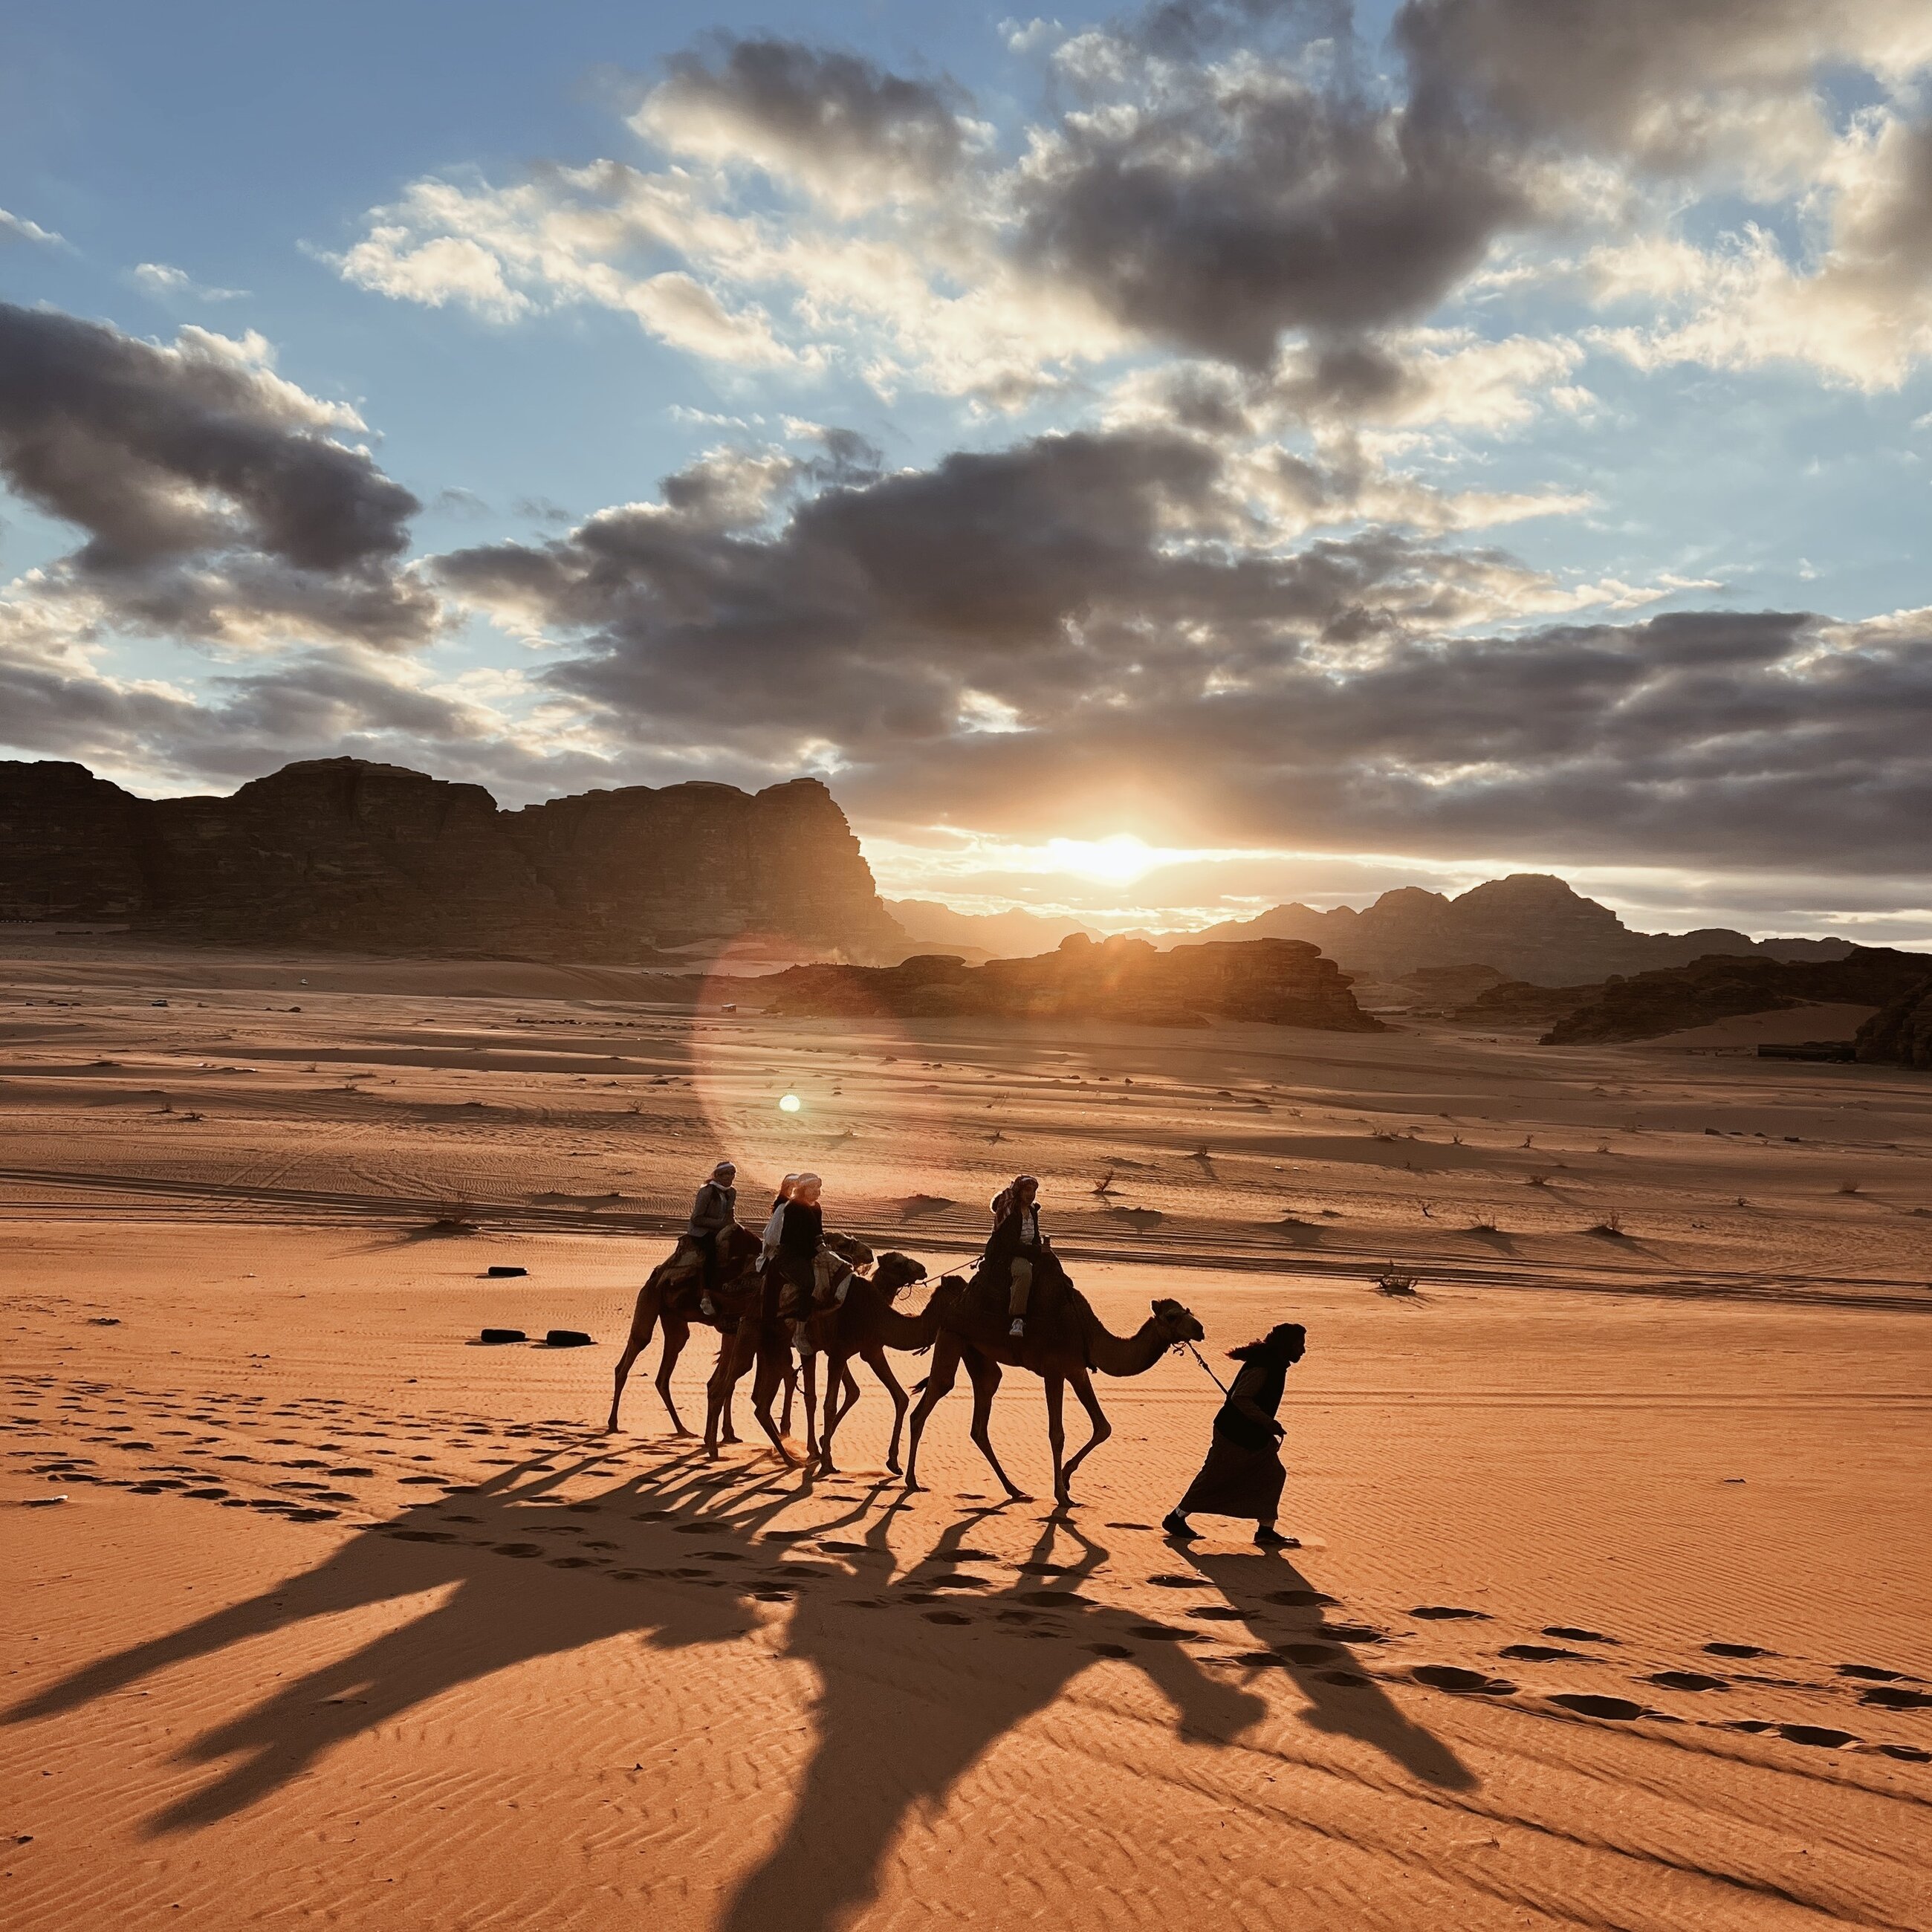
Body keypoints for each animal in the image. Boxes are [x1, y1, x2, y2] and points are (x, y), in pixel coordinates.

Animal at [896, 1267, 1198, 1506]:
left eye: (1188, 1310)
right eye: (1172, 1316)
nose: (1201, 1330)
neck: (1088, 1332)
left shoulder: (1077, 1370)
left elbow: (1103, 1426)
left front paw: (1066, 1478)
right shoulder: (1054, 1371)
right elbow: (1057, 1434)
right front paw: (1062, 1495)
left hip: (976, 1351)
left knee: (983, 1405)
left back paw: (1014, 1489)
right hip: (951, 1335)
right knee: (935, 1394)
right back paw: (911, 1480)